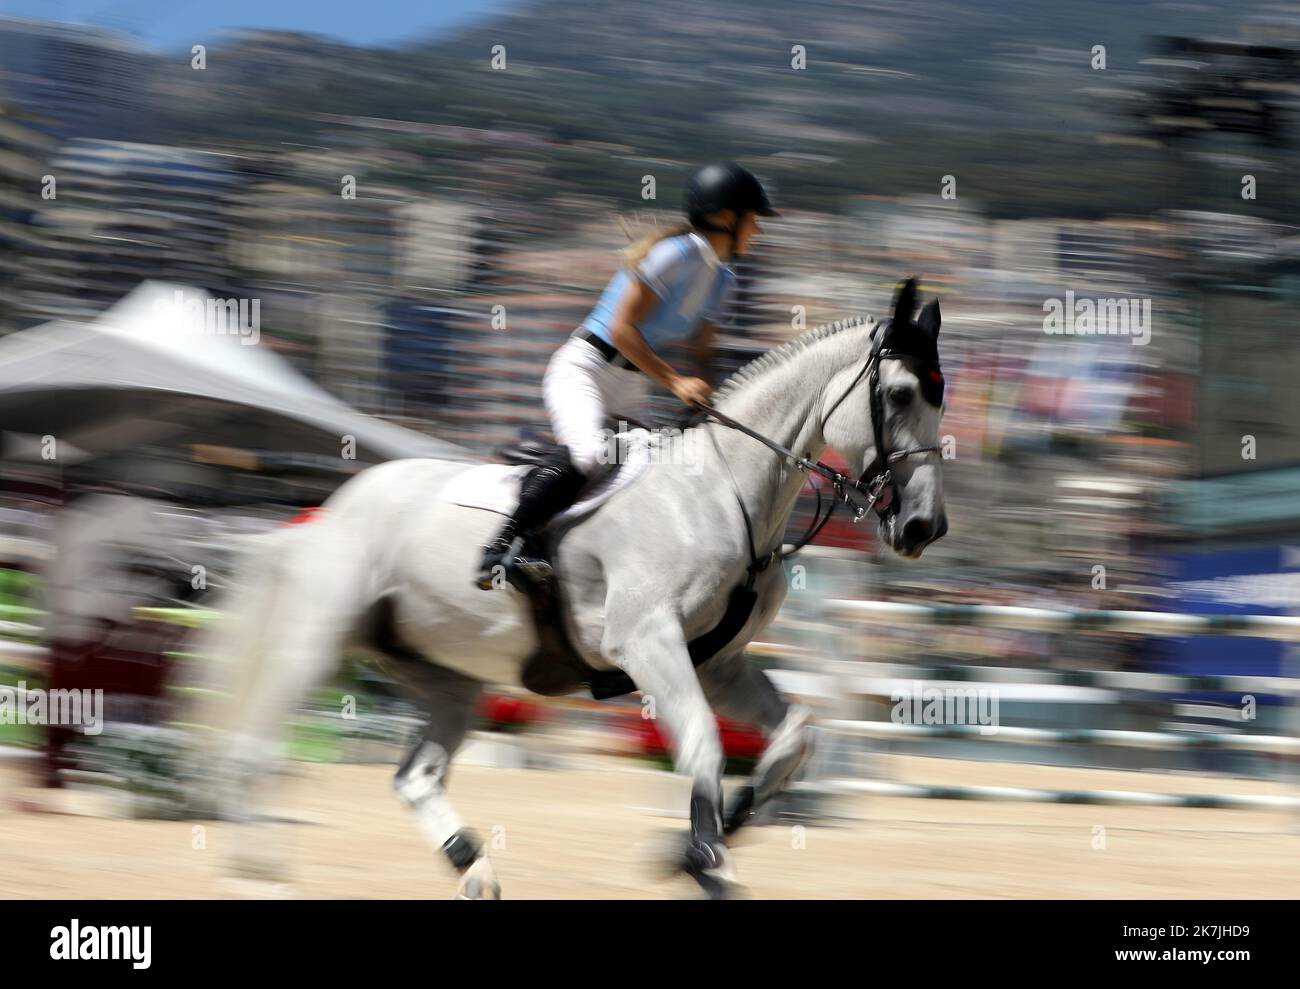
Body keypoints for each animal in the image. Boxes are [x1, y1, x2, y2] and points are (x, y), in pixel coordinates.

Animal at [208, 275, 951, 894]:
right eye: (899, 394)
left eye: (940, 396)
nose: (923, 527)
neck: (725, 490)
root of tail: (326, 512)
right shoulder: (646, 643)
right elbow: (704, 743)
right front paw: (706, 863)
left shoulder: (719, 662)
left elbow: (795, 736)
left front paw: (694, 848)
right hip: (315, 642)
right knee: (255, 748)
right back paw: (259, 877)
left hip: (446, 674)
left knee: (415, 775)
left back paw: (473, 870)